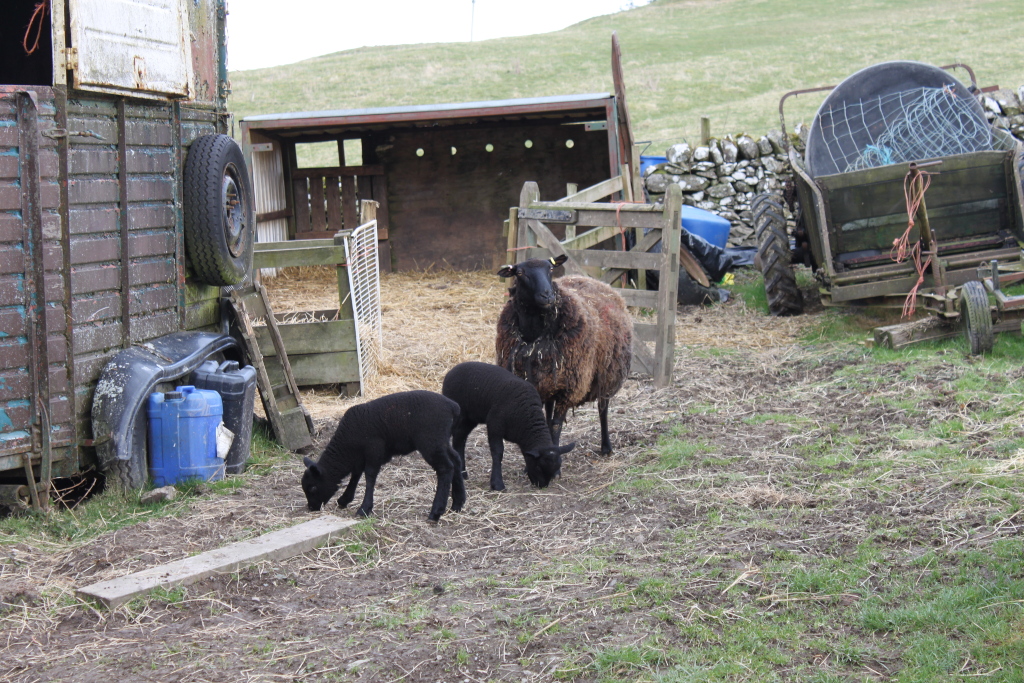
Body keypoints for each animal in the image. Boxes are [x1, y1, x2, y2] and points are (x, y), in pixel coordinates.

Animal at [301, 390, 465, 521]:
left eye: (313, 488)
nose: (312, 508)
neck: (346, 446)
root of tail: (453, 407)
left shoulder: (374, 449)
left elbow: (369, 476)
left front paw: (364, 509)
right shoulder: (361, 456)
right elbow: (355, 475)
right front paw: (344, 500)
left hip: (430, 440)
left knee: (445, 468)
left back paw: (436, 512)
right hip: (441, 440)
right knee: (456, 459)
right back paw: (458, 503)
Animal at [442, 361, 576, 491]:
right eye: (538, 467)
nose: (542, 486)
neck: (526, 413)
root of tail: (451, 371)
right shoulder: (495, 426)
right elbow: (498, 453)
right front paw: (497, 484)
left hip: (470, 418)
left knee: (459, 439)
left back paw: (462, 473)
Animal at [495, 254, 633, 455]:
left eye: (550, 269)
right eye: (520, 273)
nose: (547, 295)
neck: (534, 335)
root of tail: (593, 280)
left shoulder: (567, 388)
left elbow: (555, 425)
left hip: (607, 372)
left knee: (603, 408)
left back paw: (606, 447)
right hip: (549, 380)